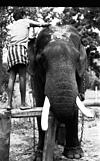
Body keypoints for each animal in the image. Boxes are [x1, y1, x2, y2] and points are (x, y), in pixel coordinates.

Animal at [28, 24, 88, 160]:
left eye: (77, 58)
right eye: (41, 59)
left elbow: (75, 105)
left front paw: (75, 155)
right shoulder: (36, 76)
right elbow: (40, 104)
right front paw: (39, 155)